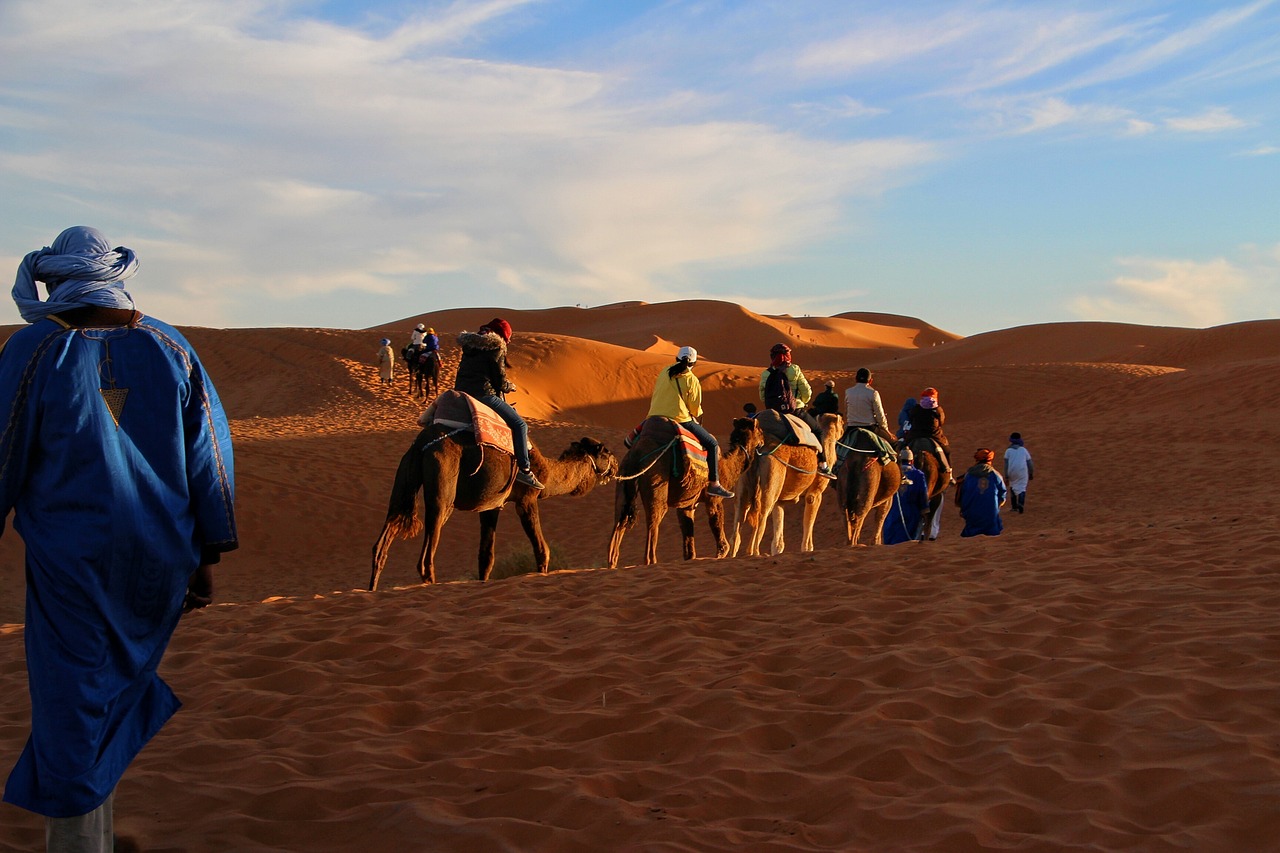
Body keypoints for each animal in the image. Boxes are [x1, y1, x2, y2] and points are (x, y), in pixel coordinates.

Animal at [368, 425, 616, 584]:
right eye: (605, 451)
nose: (615, 465)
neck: (546, 471)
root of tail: (421, 445)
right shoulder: (527, 499)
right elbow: (542, 550)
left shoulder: (491, 506)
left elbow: (486, 556)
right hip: (442, 488)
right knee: (426, 556)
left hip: (404, 479)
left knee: (383, 541)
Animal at [601, 417, 757, 568]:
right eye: (759, 430)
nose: (762, 440)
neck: (726, 466)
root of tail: (636, 452)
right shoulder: (713, 499)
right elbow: (715, 520)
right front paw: (721, 551)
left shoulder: (687, 504)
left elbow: (688, 535)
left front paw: (690, 558)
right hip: (656, 480)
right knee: (653, 523)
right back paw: (651, 561)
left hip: (624, 477)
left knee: (620, 521)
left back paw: (612, 564)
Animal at [737, 409, 844, 555]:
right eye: (842, 423)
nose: (844, 425)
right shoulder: (815, 493)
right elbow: (808, 524)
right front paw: (807, 550)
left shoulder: (780, 500)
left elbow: (778, 539)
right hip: (769, 485)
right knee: (760, 519)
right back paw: (755, 553)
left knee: (738, 526)